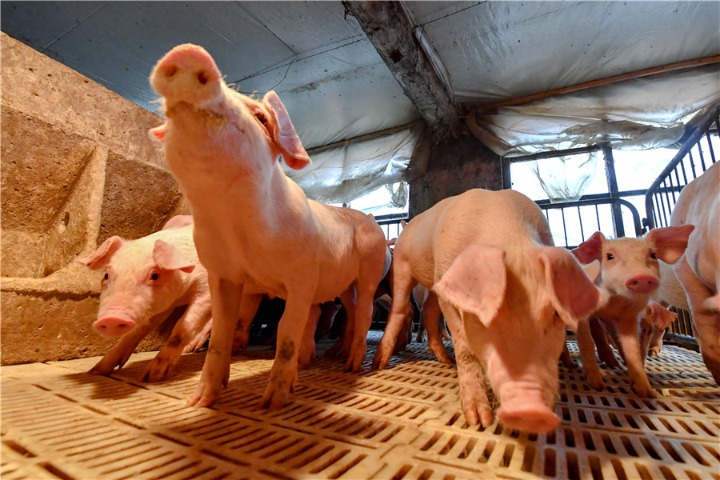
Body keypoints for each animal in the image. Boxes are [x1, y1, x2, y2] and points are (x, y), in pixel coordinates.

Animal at [78, 223, 211, 381]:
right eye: (106, 275)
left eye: (155, 276)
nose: (111, 319)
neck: (181, 296)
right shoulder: (160, 306)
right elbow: (138, 331)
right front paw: (95, 371)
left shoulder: (206, 291)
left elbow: (181, 329)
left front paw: (152, 376)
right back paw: (191, 349)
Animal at [149, 44, 387, 409]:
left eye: (261, 117)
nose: (188, 52)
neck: (237, 227)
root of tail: (371, 219)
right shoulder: (223, 274)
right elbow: (221, 332)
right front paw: (198, 401)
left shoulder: (302, 277)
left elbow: (287, 333)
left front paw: (273, 403)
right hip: (343, 283)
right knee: (348, 309)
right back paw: (334, 356)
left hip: (371, 270)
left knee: (365, 311)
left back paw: (351, 368)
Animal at [373, 189, 600, 432]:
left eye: (556, 313)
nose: (531, 410)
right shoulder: (447, 286)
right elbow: (465, 348)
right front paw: (479, 420)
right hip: (402, 268)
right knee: (400, 309)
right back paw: (379, 363)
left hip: (434, 283)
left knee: (429, 309)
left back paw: (446, 361)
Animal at [572, 226, 693, 397]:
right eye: (609, 256)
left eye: (653, 255)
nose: (642, 276)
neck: (613, 303)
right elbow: (587, 342)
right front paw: (597, 385)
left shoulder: (628, 318)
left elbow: (632, 349)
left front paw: (646, 392)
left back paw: (619, 363)